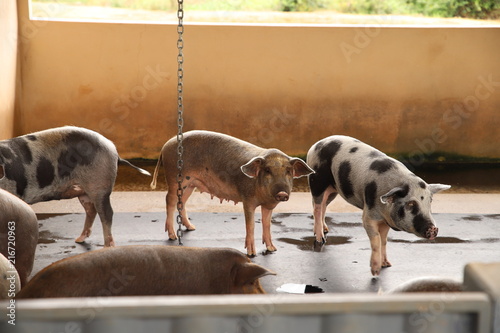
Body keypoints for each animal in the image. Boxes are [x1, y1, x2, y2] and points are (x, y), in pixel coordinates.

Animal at [0, 126, 151, 246]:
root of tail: (113, 148)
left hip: (100, 184)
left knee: (107, 213)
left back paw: (108, 246)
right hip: (83, 191)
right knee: (91, 210)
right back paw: (79, 239)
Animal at [149, 130, 312, 254]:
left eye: (289, 171)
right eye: (267, 170)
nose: (282, 193)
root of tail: (165, 145)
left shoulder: (268, 205)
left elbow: (267, 224)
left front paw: (272, 249)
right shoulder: (247, 199)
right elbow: (250, 225)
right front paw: (251, 253)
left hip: (190, 184)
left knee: (181, 202)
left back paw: (192, 227)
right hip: (175, 179)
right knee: (169, 201)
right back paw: (172, 236)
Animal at [306, 135, 452, 274]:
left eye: (430, 201)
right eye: (411, 204)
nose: (433, 228)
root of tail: (316, 145)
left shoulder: (386, 220)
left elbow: (384, 241)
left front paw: (387, 265)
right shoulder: (368, 216)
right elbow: (376, 240)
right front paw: (375, 272)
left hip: (333, 189)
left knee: (323, 206)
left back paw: (326, 230)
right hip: (317, 181)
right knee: (317, 207)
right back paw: (320, 239)